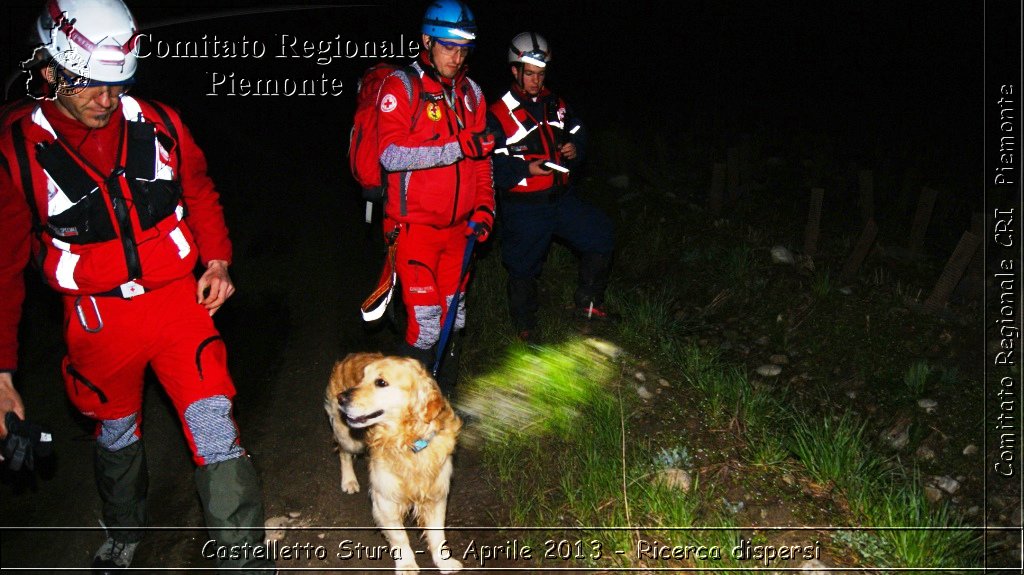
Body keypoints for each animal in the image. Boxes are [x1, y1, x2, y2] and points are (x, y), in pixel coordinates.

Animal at [323, 351, 464, 568]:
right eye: (362, 378)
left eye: (381, 382)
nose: (342, 398)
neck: (408, 443)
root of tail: (350, 356)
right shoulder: (384, 499)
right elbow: (400, 537)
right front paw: (407, 565)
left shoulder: (436, 494)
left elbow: (437, 534)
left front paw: (444, 562)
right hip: (348, 437)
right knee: (344, 453)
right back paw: (349, 481)